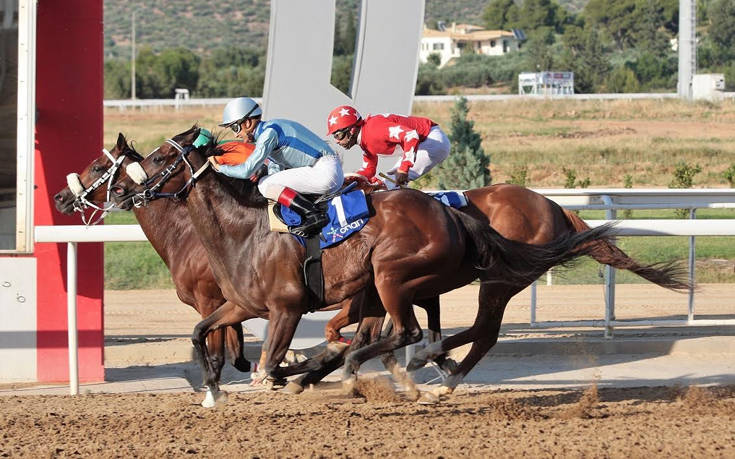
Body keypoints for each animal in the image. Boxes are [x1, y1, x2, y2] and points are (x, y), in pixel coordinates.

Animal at [109, 126, 620, 402]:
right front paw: (213, 390)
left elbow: (271, 363)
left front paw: (295, 375)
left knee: (428, 332)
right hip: (395, 283)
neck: (244, 230)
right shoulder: (240, 304)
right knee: (436, 333)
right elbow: (203, 335)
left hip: (402, 276)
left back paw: (417, 370)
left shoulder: (287, 307)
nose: (124, 190)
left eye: (159, 156)